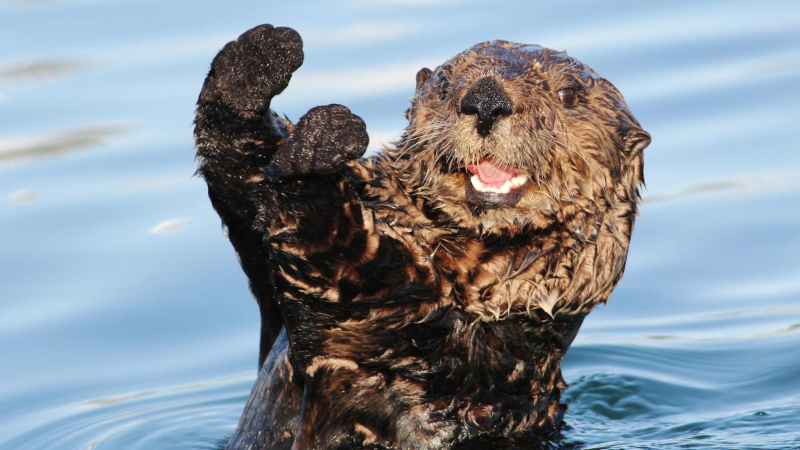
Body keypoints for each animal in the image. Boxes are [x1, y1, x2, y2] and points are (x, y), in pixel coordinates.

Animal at [194, 24, 650, 449]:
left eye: (569, 94)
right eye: (446, 85)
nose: (486, 100)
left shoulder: (411, 342)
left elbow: (341, 263)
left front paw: (319, 147)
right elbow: (245, 188)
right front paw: (256, 62)